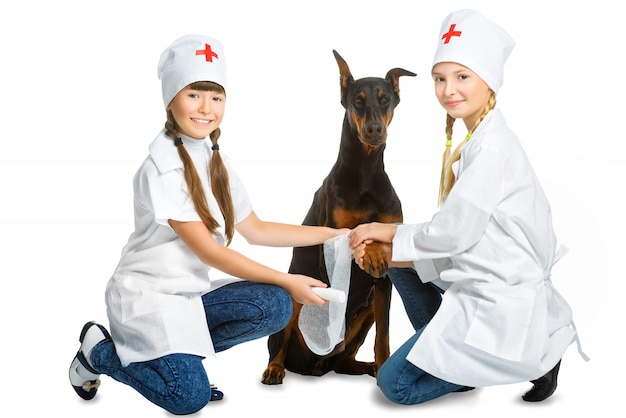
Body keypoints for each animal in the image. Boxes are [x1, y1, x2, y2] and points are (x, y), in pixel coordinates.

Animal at [260, 49, 414, 386]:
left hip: (364, 314)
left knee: (345, 361)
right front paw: (370, 252)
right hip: (298, 291)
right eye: (357, 100)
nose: (374, 129)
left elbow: (384, 335)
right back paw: (274, 369)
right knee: (279, 345)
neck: (366, 173)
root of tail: (314, 368)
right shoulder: (331, 242)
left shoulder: (384, 283)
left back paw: (369, 367)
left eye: (385, 99)